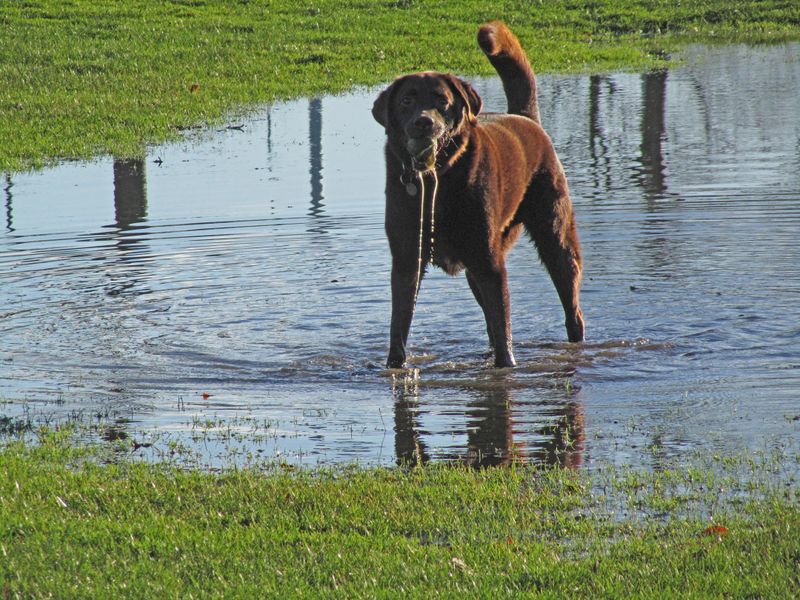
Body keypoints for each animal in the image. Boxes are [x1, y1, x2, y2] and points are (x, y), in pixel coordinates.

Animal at [372, 21, 584, 368]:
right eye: (406, 102)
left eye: (441, 100)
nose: (423, 122)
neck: (438, 180)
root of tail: (525, 118)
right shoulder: (406, 261)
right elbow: (398, 326)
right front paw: (394, 367)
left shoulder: (490, 264)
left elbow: (503, 326)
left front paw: (507, 369)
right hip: (477, 267)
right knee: (489, 322)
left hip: (555, 239)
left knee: (571, 308)